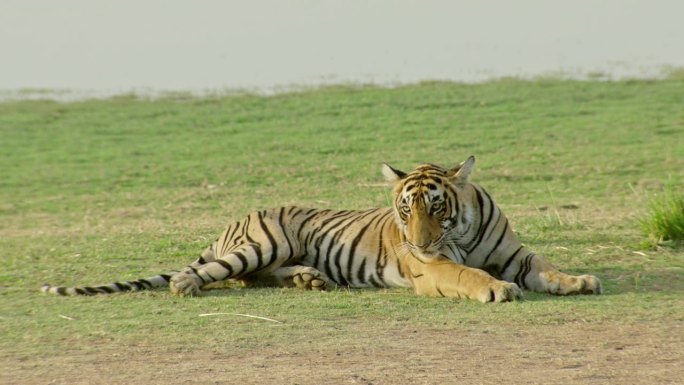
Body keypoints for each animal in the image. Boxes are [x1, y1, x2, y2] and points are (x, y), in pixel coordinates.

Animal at [41, 155, 604, 300]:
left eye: (435, 207)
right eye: (405, 211)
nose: (417, 242)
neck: (457, 232)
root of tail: (234, 220)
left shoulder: (514, 253)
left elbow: (546, 265)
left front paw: (579, 281)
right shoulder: (434, 268)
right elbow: (469, 275)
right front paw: (497, 291)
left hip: (271, 252)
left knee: (251, 277)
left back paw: (309, 279)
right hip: (263, 242)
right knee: (222, 272)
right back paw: (184, 285)